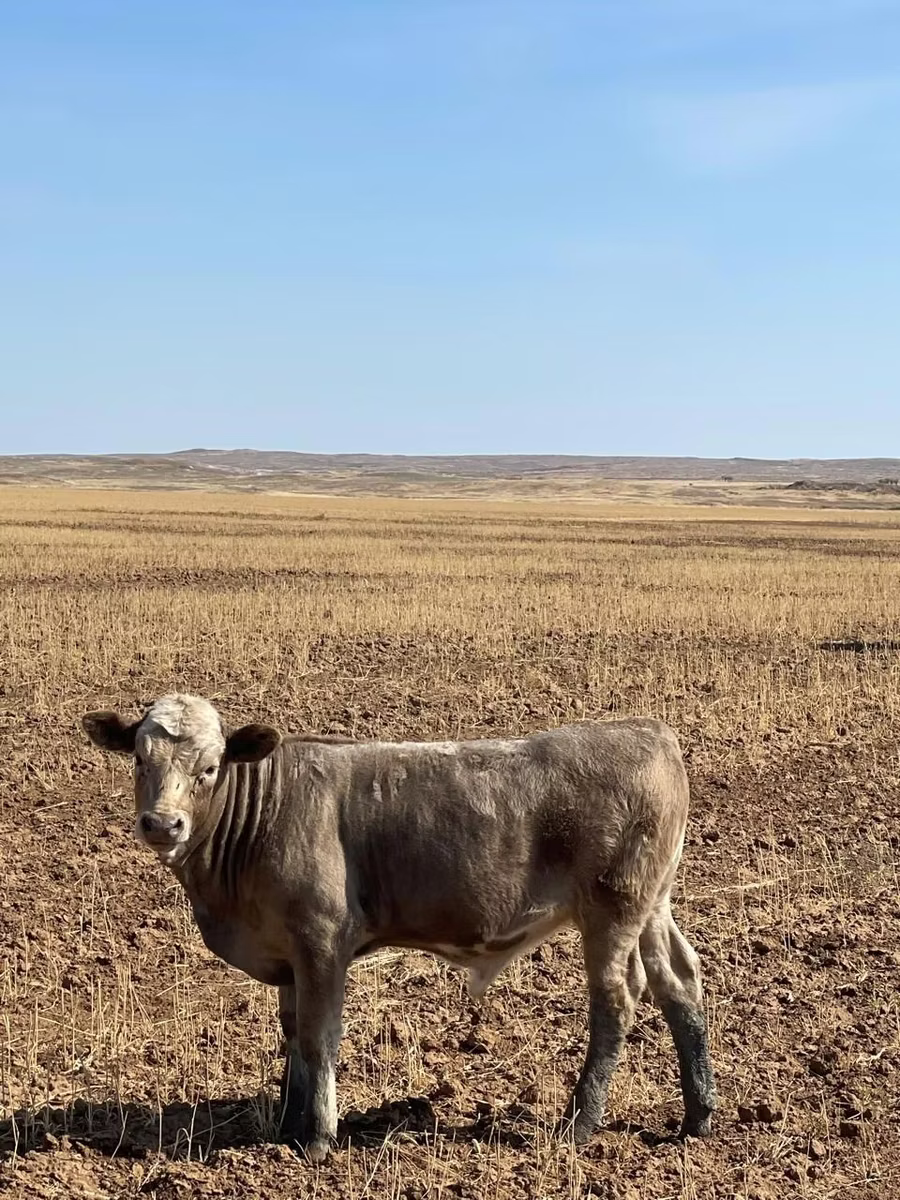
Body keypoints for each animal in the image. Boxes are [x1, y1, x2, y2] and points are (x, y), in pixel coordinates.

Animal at [82, 693, 715, 1162]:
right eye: (139, 760)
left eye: (209, 768)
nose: (163, 824)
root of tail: (647, 730)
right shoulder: (288, 956)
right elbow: (292, 1036)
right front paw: (287, 1124)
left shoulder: (322, 944)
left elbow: (319, 1037)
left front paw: (318, 1137)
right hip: (652, 906)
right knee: (679, 982)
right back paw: (697, 1116)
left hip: (613, 910)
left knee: (616, 1001)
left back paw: (579, 1125)